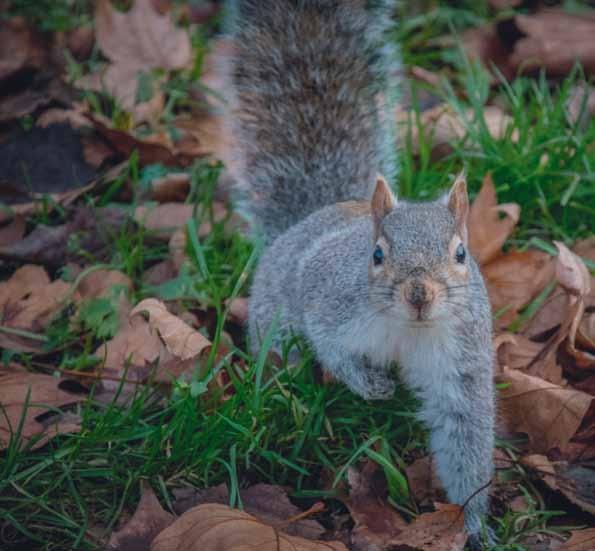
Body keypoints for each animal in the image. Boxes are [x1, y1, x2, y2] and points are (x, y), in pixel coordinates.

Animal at [226, 0, 496, 548]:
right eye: (376, 254)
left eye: (461, 253)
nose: (419, 293)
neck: (407, 331)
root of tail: (314, 215)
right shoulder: (331, 306)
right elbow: (331, 347)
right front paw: (372, 387)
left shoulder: (461, 358)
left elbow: (466, 431)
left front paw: (475, 523)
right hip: (275, 319)